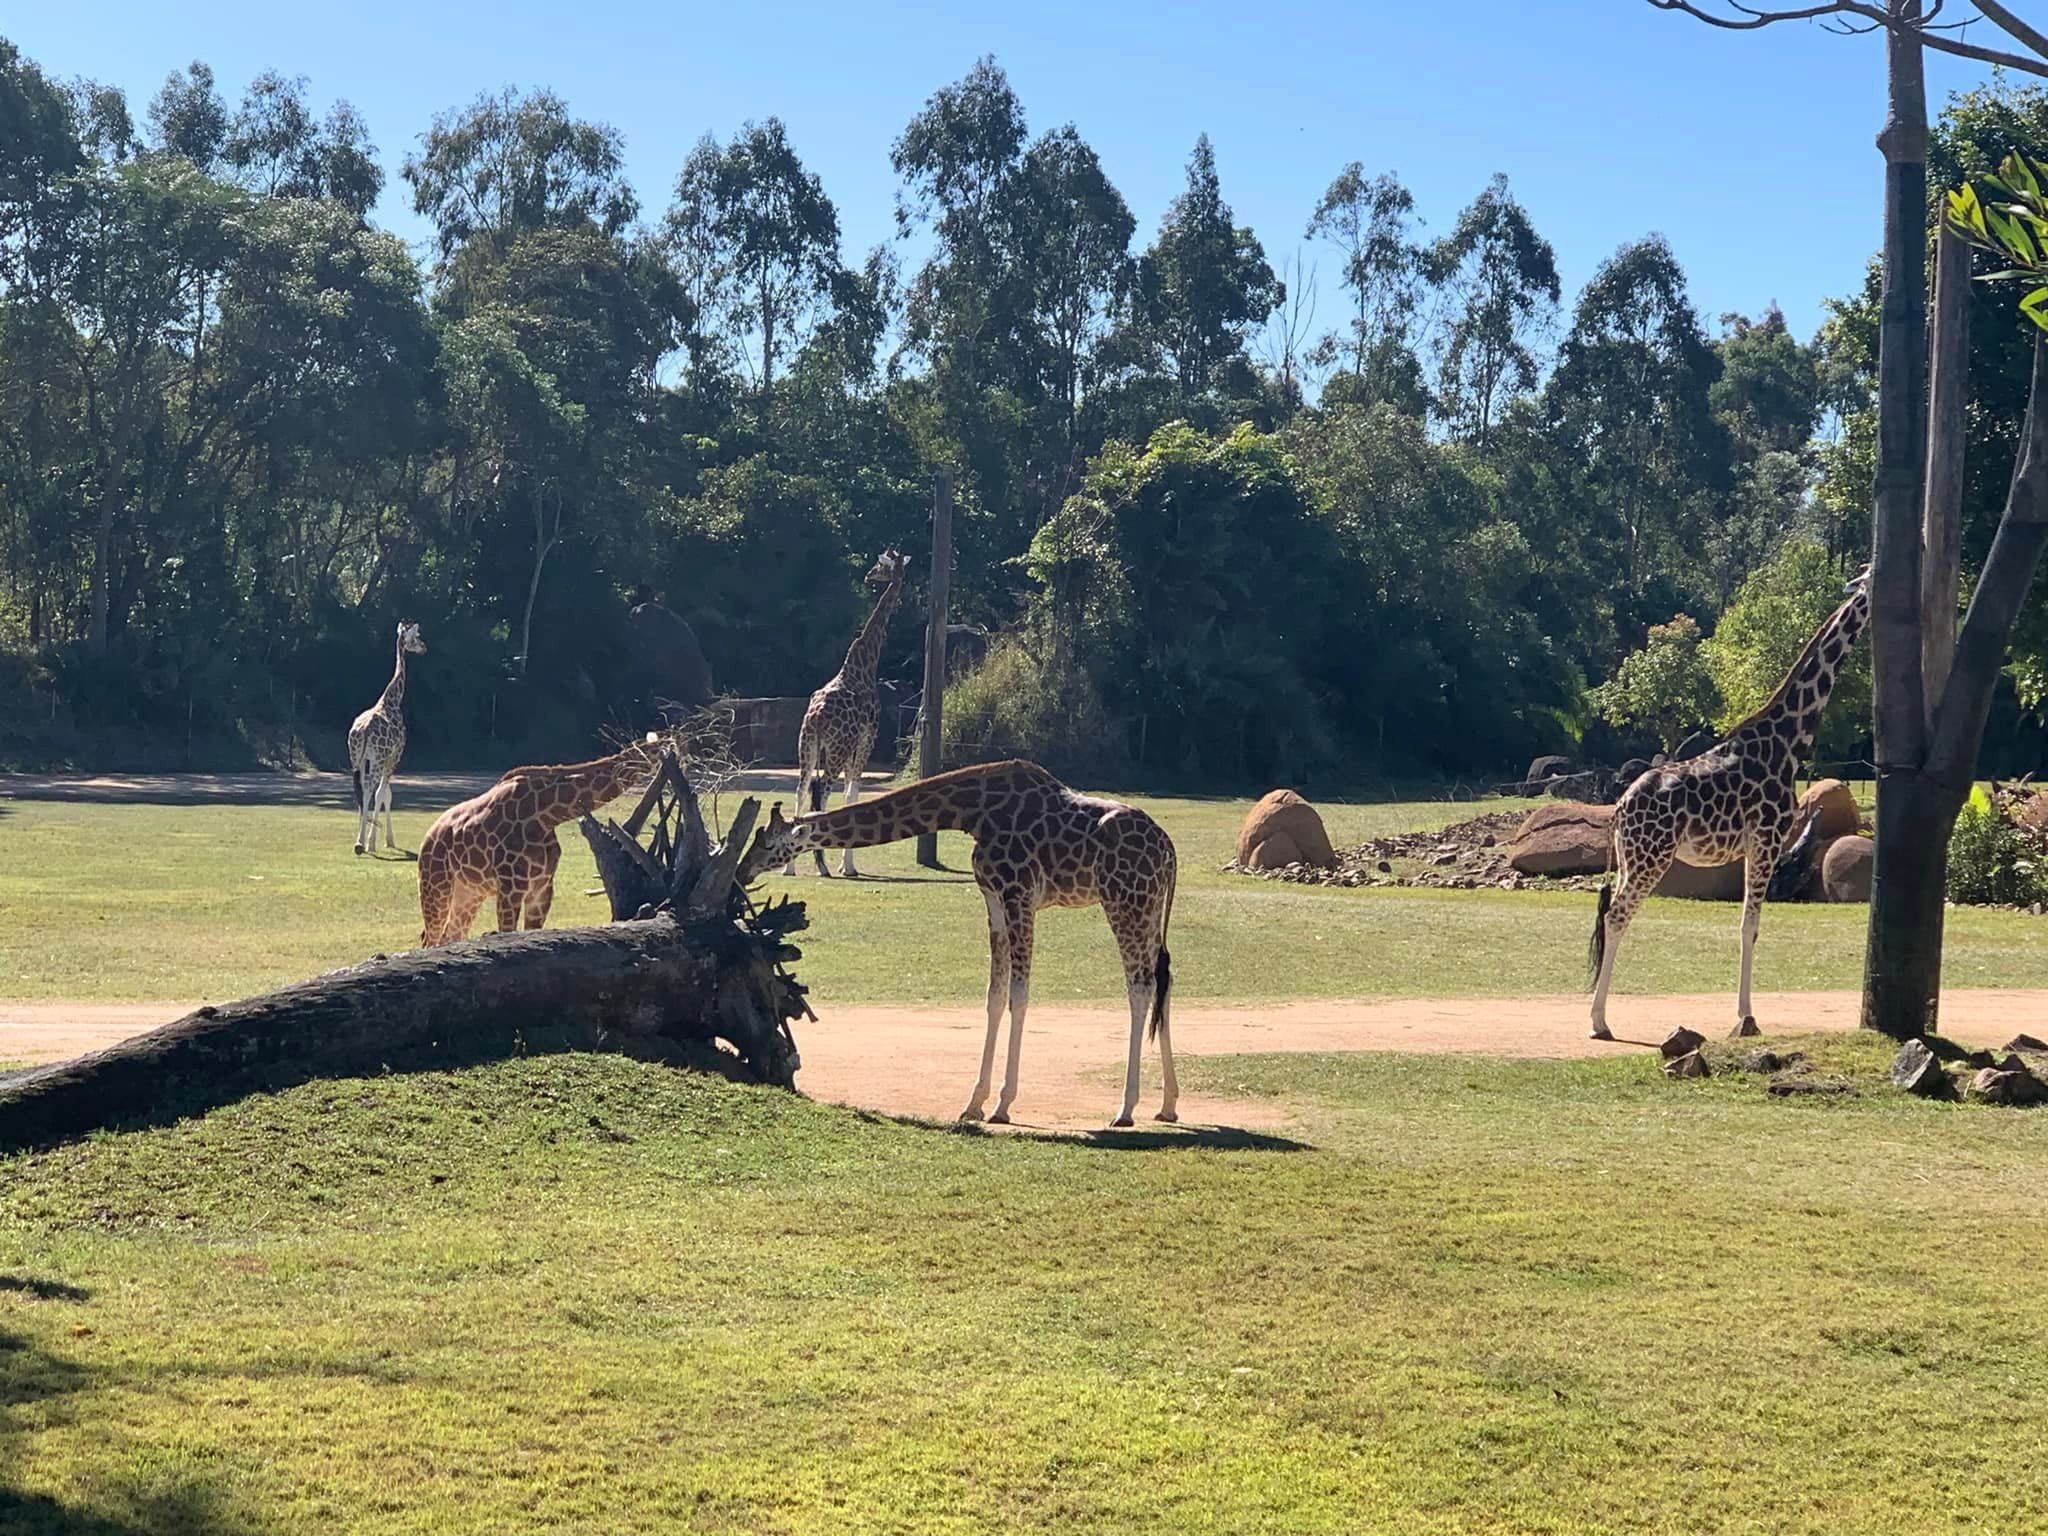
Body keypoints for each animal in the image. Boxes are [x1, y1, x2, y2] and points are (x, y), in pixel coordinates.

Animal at [348, 626, 428, 868]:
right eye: (416, 638)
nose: (424, 647)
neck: (393, 699)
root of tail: (363, 731)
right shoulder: (394, 756)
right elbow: (384, 794)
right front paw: (382, 841)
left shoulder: (370, 759)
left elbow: (382, 794)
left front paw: (377, 839)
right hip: (378, 759)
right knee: (370, 788)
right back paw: (362, 844)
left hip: (355, 758)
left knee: (360, 788)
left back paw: (359, 842)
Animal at [419, 737, 659, 946]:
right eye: (656, 748)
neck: (545, 814)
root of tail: (429, 836)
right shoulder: (510, 887)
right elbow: (507, 932)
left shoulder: (541, 887)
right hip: (436, 885)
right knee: (430, 937)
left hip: (469, 893)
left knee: (451, 934)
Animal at [741, 761, 1187, 1130]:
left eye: (768, 844)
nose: (742, 871)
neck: (972, 812)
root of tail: (1169, 849)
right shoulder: (993, 898)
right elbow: (994, 995)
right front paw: (974, 1102)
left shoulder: (1018, 895)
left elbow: (1020, 996)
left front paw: (1003, 1104)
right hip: (1149, 907)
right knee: (1163, 981)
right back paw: (1167, 1104)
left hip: (1124, 901)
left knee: (1140, 986)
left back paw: (1126, 1108)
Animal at [786, 552, 909, 876]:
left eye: (879, 565)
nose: (868, 575)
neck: (866, 663)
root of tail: (817, 716)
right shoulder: (866, 741)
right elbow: (852, 795)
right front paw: (848, 866)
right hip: (837, 749)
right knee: (822, 790)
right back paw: (822, 866)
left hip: (807, 744)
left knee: (802, 788)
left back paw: (790, 867)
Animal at [1581, 569, 1875, 1048]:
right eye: (1871, 575)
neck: (1788, 743)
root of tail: (1621, 807)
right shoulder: (1768, 840)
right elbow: (1749, 926)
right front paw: (1746, 1018)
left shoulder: (1756, 847)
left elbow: (1745, 924)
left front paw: (1744, 1016)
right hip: (1651, 857)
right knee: (1618, 913)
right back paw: (1600, 1022)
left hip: (1630, 857)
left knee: (1610, 915)